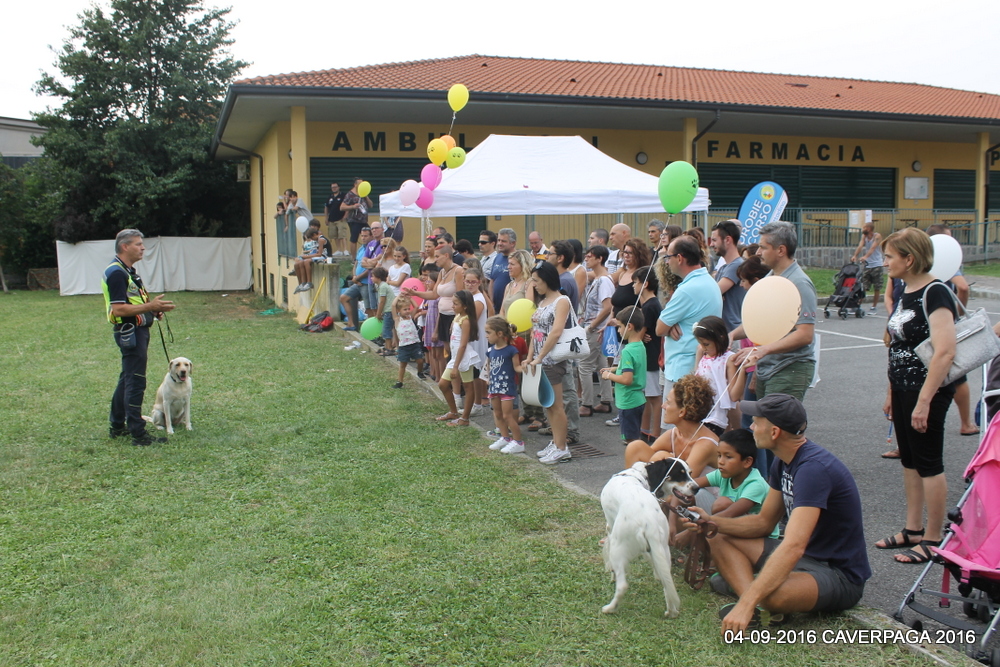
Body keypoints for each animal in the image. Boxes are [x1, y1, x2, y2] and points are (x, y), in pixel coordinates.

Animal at [599, 457, 699, 617]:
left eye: (689, 473)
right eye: (681, 473)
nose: (697, 488)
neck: (639, 475)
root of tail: (648, 521)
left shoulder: (610, 525)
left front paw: (610, 571)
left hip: (618, 547)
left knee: (622, 585)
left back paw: (610, 608)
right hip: (664, 549)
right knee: (667, 583)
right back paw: (671, 611)